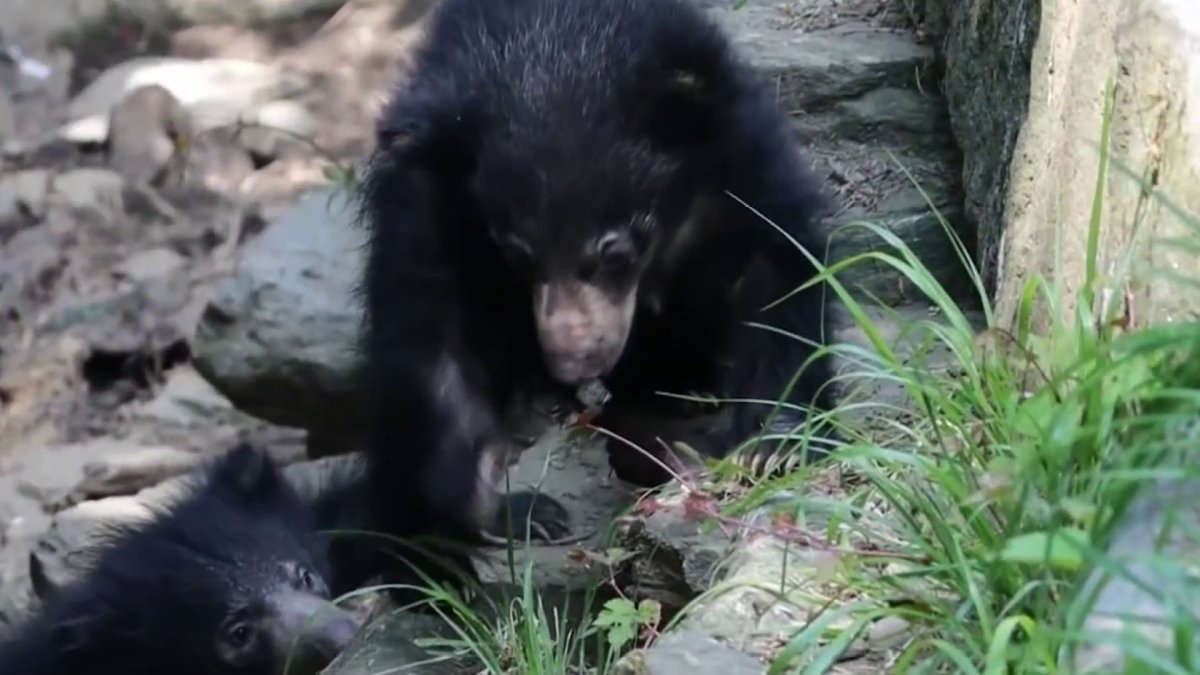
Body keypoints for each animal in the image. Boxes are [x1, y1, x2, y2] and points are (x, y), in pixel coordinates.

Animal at [355, 0, 840, 588]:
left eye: (614, 252)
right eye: (517, 254)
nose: (573, 360)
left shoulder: (738, 154)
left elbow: (777, 268)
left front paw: (772, 446)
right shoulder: (424, 203)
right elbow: (432, 344)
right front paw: (507, 507)